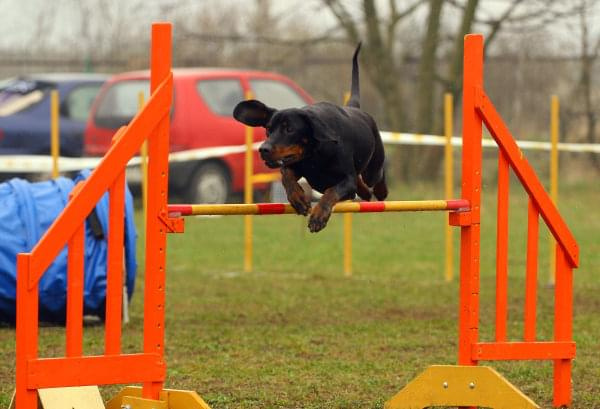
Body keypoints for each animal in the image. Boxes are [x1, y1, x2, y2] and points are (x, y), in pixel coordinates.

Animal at [232, 43, 386, 233]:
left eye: (289, 129)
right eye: (268, 130)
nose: (263, 149)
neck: (315, 154)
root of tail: (355, 107)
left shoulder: (346, 181)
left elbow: (331, 191)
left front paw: (319, 216)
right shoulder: (298, 166)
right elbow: (287, 175)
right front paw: (298, 198)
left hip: (373, 167)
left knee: (376, 176)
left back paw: (380, 192)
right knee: (360, 183)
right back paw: (365, 193)